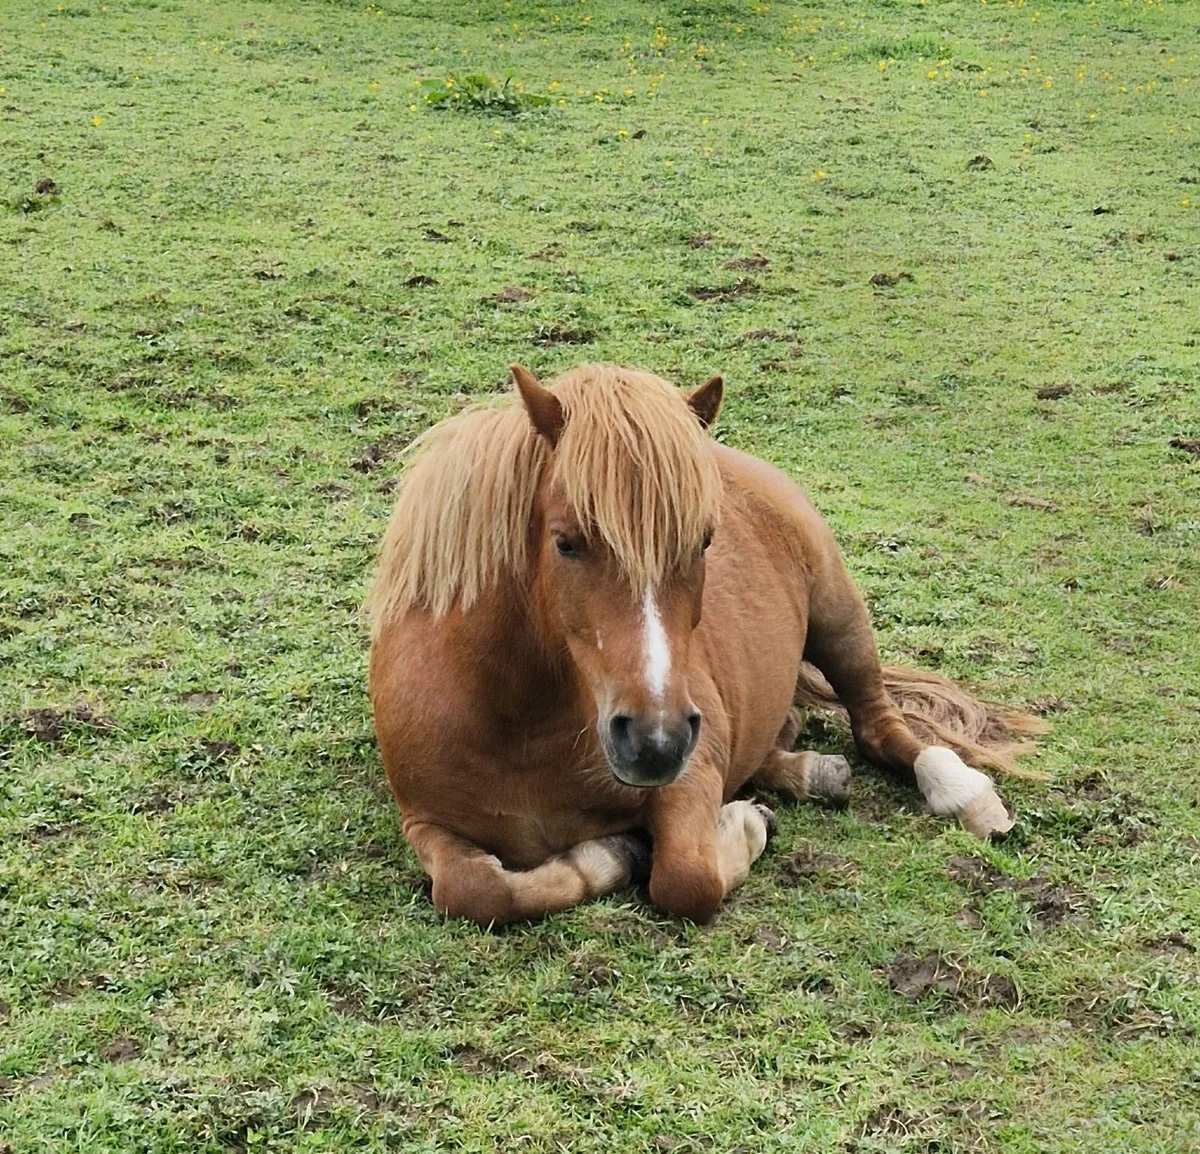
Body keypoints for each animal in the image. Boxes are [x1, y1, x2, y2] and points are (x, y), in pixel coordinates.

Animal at [366, 363, 1043, 926]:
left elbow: (687, 880)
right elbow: (474, 891)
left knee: (879, 727)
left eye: (702, 542)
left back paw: (962, 795)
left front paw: (738, 827)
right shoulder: (426, 823)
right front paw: (613, 854)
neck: (518, 726)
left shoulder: (688, 780)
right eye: (565, 541)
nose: (655, 740)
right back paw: (811, 773)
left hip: (840, 619)